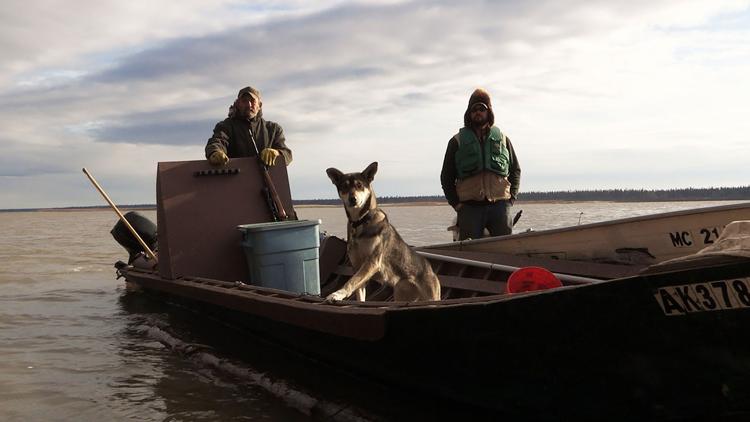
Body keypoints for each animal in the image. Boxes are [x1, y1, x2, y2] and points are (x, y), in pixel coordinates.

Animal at [326, 162, 444, 304]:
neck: (360, 222)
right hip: (400, 291)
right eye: (344, 186)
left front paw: (337, 294)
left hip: (429, 296)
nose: (352, 199)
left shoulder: (372, 262)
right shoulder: (357, 266)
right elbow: (358, 288)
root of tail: (430, 269)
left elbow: (351, 281)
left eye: (359, 185)